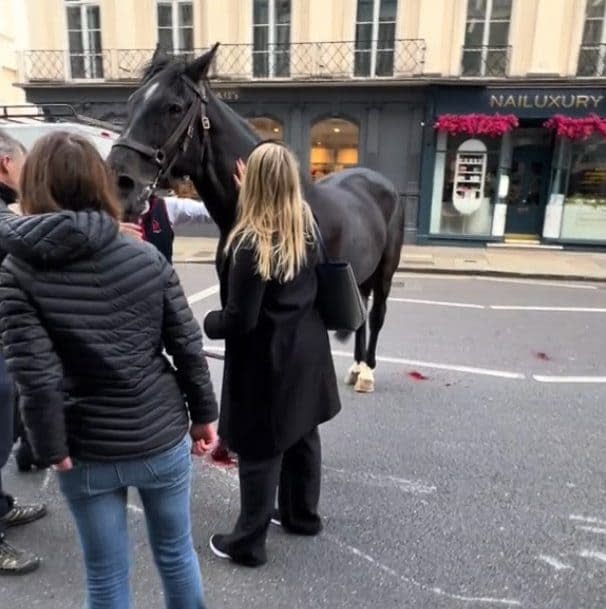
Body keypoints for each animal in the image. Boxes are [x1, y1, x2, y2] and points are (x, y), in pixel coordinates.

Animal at [108, 45, 406, 392]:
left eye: (174, 107)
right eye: (132, 102)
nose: (119, 183)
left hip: (386, 270)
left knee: (377, 314)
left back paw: (367, 370)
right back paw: (357, 368)